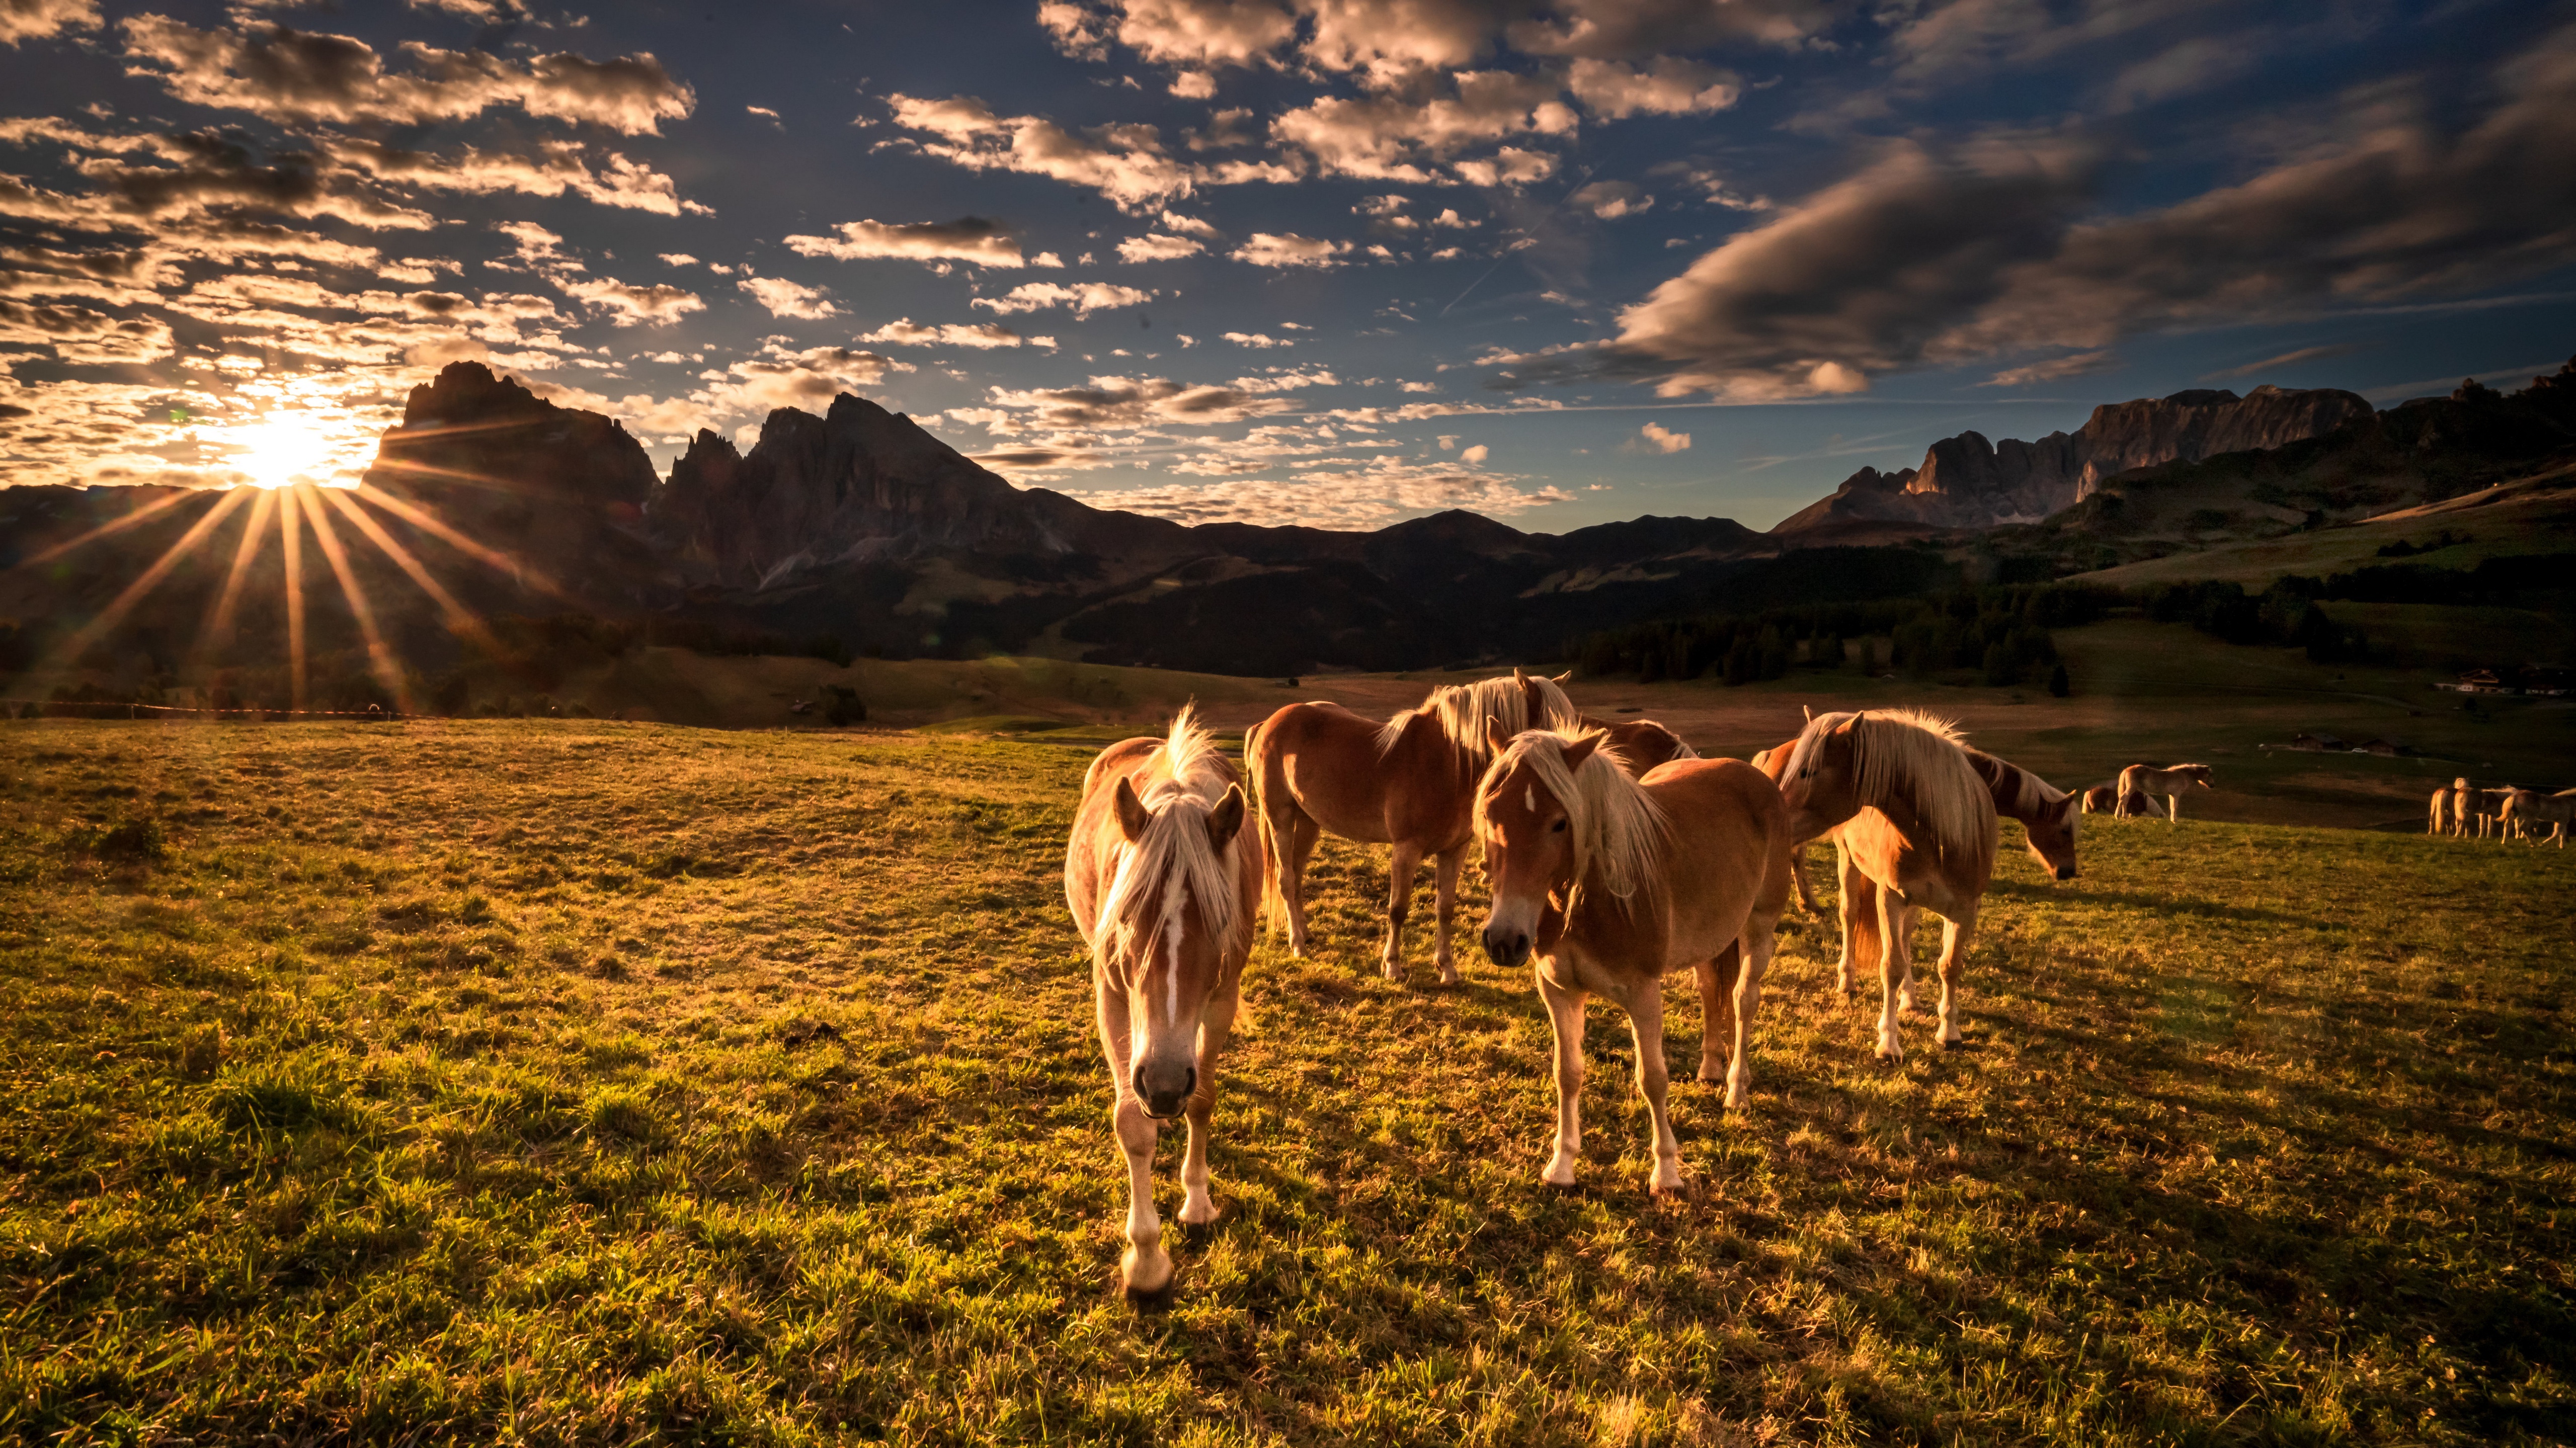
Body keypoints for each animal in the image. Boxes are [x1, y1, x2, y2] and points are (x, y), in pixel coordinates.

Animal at [1064, 707, 1263, 1300]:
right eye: (1126, 914)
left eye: (1219, 920)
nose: (1166, 1083)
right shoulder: (1111, 993)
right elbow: (1132, 1122)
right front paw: (1147, 1260)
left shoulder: (1222, 995)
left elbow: (1203, 1099)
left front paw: (1197, 1201)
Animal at [1247, 667, 1579, 984]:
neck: (1448, 763)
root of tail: (1267, 723)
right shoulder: (1405, 849)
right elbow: (1398, 909)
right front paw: (1393, 966)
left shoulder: (1455, 851)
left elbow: (1446, 909)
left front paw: (1447, 968)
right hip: (1280, 818)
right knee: (1286, 879)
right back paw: (1298, 944)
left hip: (1309, 821)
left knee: (1297, 873)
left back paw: (1306, 933)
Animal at [1474, 726, 1790, 1191]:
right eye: (1490, 813)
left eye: (1560, 822)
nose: (1504, 939)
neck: (1595, 898)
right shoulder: (1559, 990)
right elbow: (1567, 1073)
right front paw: (1562, 1164)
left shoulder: (1643, 994)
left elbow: (1653, 1079)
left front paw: (1667, 1172)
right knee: (1710, 990)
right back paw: (1711, 1067)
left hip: (1759, 928)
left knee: (1743, 1001)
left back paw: (1736, 1090)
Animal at [1777, 710, 1998, 1060]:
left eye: (1808, 772)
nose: (1777, 815)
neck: (1940, 838)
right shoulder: (1890, 898)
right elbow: (1891, 967)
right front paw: (1889, 1044)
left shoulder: (1964, 910)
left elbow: (1949, 966)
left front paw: (1949, 1033)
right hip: (1849, 862)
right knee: (1850, 916)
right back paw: (1848, 982)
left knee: (1906, 938)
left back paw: (1911, 999)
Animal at [2117, 763, 2213, 821]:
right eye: (2209, 775)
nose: (2213, 786)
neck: (2183, 776)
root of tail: (2127, 769)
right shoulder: (2176, 794)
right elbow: (2175, 806)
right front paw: (2175, 820)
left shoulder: (2172, 795)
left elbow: (2172, 806)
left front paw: (2172, 819)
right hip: (2131, 788)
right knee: (2123, 798)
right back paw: (2118, 816)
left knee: (2125, 800)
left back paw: (2124, 816)